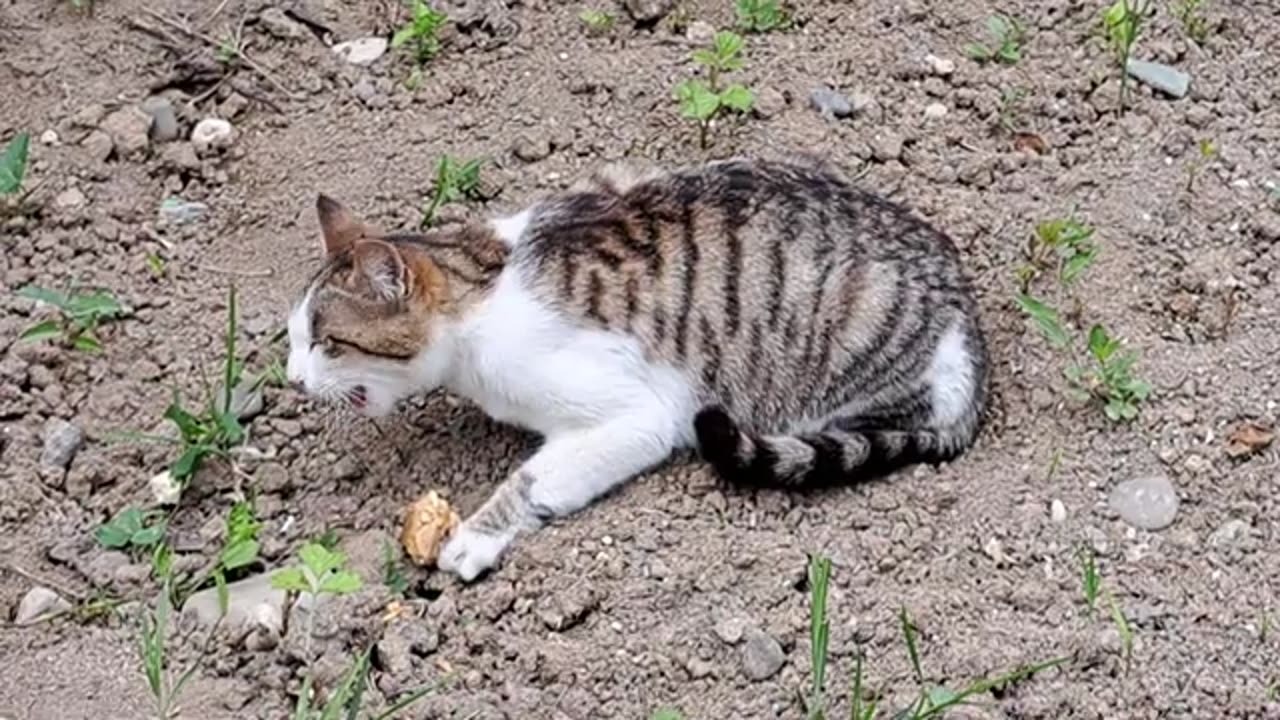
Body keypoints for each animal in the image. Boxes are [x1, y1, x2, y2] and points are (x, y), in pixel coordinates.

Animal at [288, 155, 988, 576]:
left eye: (326, 342)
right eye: (293, 337)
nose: (293, 379)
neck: (480, 286)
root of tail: (968, 320)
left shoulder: (642, 415)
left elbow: (532, 480)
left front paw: (474, 537)